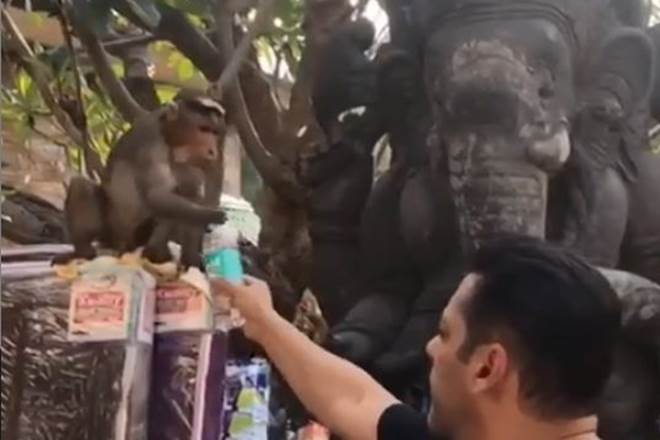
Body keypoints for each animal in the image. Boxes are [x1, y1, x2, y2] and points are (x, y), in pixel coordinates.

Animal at [52, 91, 227, 268]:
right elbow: (156, 195)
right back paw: (86, 252)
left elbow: (196, 191)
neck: (170, 137)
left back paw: (179, 258)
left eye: (214, 132)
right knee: (81, 186)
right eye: (203, 129)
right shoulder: (152, 142)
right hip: (115, 231)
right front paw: (213, 215)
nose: (211, 150)